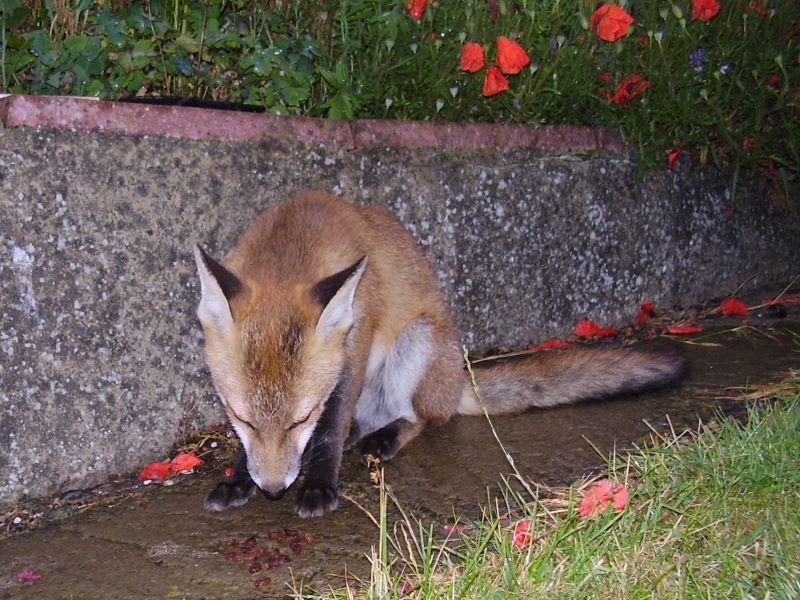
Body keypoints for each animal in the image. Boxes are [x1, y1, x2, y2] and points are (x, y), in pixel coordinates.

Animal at [194, 191, 688, 516]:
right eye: (241, 419)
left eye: (300, 418)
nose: (274, 488)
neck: (295, 242)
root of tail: (456, 382)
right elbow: (266, 444)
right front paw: (237, 478)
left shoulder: (356, 343)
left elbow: (331, 427)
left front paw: (318, 486)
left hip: (416, 346)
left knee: (423, 419)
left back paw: (384, 438)